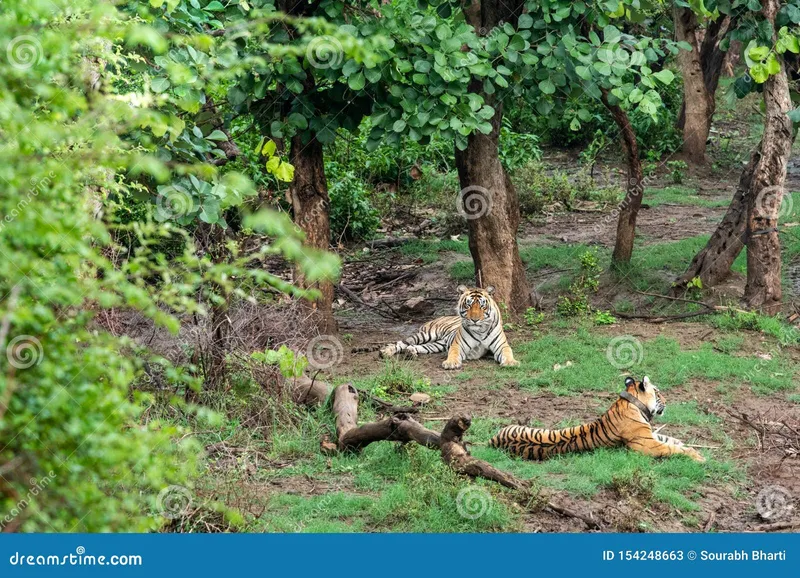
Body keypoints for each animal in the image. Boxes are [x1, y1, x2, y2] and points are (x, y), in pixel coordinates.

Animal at [380, 284, 520, 368]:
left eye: (482, 306)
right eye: (468, 305)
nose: (474, 320)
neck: (480, 330)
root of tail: (438, 317)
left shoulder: (502, 345)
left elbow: (508, 352)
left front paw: (511, 362)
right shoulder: (458, 345)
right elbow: (453, 353)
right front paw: (451, 363)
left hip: (437, 344)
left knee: (417, 346)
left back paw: (410, 352)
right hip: (425, 334)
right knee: (402, 343)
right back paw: (385, 352)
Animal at [490, 376, 704, 462]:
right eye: (658, 392)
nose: (666, 401)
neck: (632, 402)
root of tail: (493, 440)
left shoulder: (650, 435)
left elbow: (671, 440)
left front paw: (688, 446)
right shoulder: (647, 444)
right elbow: (672, 448)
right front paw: (698, 456)